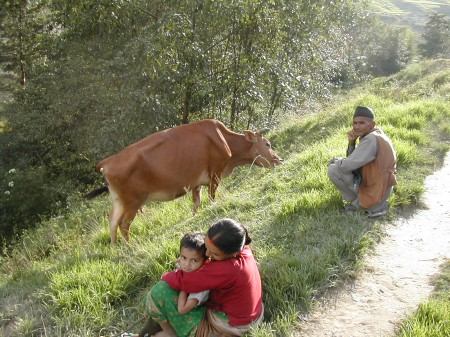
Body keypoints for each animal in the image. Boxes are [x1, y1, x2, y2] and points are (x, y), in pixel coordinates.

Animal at [84, 119, 282, 243]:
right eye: (267, 144)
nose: (279, 159)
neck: (224, 139)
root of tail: (106, 162)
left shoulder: (196, 182)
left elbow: (196, 203)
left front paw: (195, 219)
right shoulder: (215, 173)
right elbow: (212, 197)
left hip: (119, 201)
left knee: (112, 221)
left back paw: (115, 247)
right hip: (133, 201)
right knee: (124, 224)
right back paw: (130, 246)